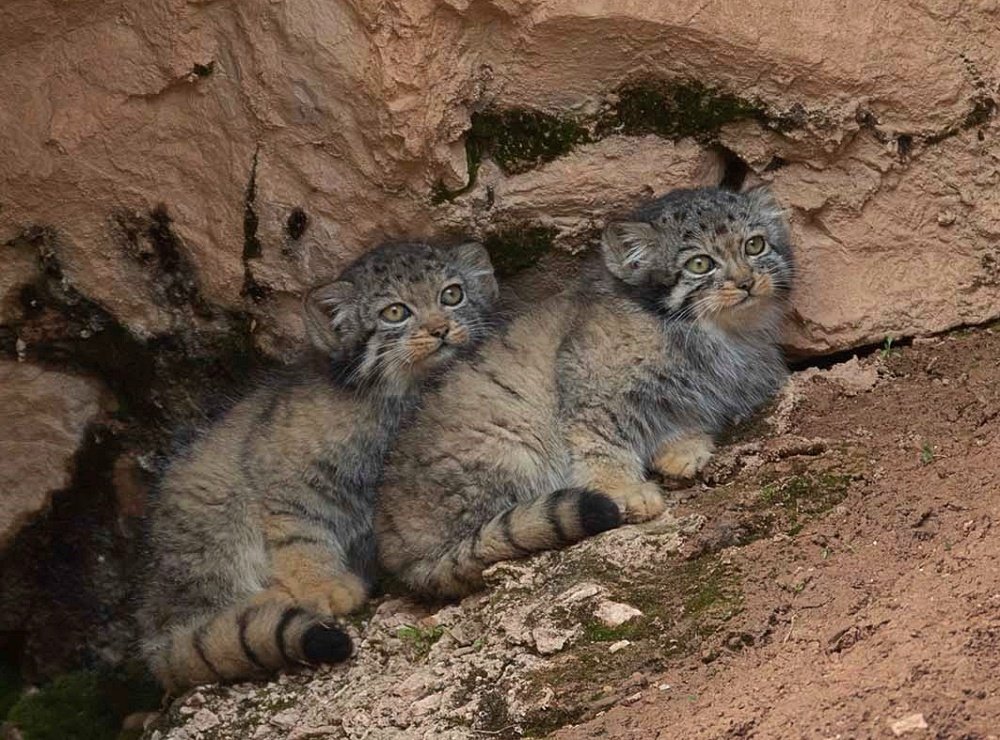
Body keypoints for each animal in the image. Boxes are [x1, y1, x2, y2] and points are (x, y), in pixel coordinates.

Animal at [139, 241, 498, 688]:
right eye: (394, 312)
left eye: (452, 294)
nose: (440, 329)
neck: (396, 399)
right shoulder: (286, 485)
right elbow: (301, 536)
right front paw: (321, 585)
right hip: (210, 514)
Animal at [376, 188, 796, 600]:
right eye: (699, 264)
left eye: (755, 245)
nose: (746, 281)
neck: (715, 333)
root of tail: (393, 548)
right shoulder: (594, 394)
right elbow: (601, 447)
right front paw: (624, 491)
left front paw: (682, 450)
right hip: (511, 449)